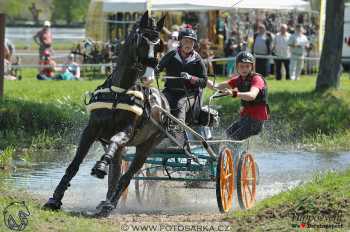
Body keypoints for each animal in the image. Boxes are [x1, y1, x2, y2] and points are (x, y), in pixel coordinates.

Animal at [42, 10, 168, 218]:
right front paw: (55, 199)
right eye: (141, 40)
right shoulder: (91, 130)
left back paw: (110, 203)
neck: (119, 92)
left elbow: (116, 141)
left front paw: (100, 166)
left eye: (160, 45)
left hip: (148, 145)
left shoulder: (126, 131)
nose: (150, 73)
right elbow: (74, 164)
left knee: (127, 175)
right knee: (116, 172)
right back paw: (105, 202)